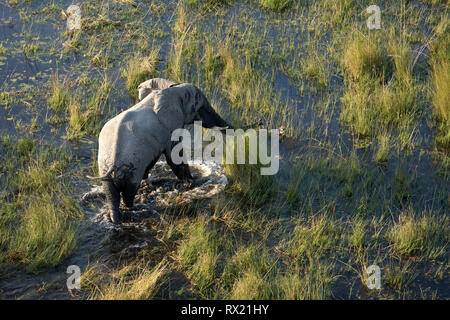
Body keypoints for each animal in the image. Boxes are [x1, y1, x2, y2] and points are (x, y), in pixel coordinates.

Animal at [89, 80, 232, 224]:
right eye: (201, 109)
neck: (174, 88)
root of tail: (113, 161)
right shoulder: (169, 126)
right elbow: (174, 156)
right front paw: (193, 182)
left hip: (105, 166)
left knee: (111, 193)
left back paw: (115, 219)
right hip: (132, 166)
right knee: (129, 192)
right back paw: (133, 208)